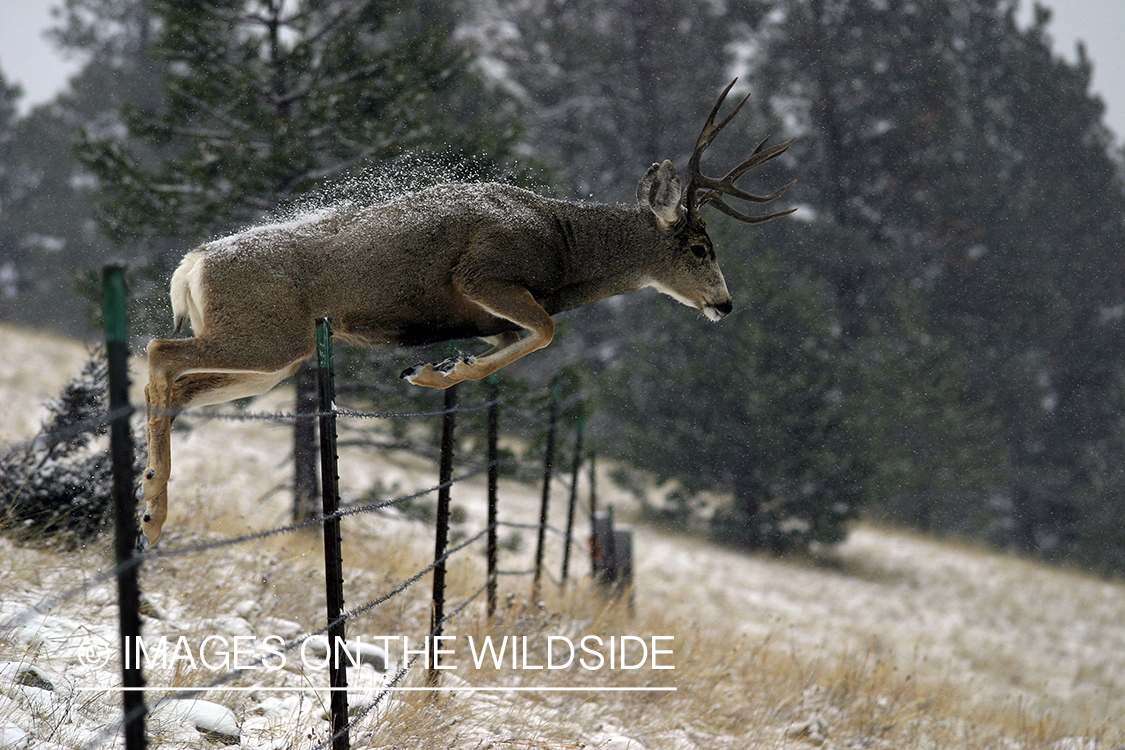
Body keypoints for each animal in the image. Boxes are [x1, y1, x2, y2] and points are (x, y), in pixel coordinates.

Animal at [139, 78, 795, 545]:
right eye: (699, 248)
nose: (725, 304)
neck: (563, 248)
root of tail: (192, 265)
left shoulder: (493, 318)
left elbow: (516, 343)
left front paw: (439, 368)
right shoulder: (481, 272)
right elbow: (547, 330)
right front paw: (432, 372)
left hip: (274, 358)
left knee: (179, 384)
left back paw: (150, 500)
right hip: (264, 336)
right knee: (158, 352)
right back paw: (151, 511)